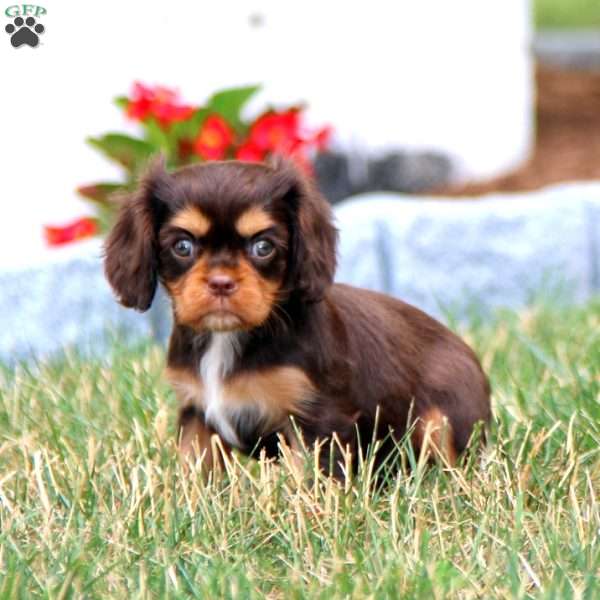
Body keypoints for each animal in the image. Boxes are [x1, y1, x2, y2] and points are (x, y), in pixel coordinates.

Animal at [105, 157, 490, 476]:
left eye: (263, 246)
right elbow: (194, 468)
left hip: (440, 420)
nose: (221, 283)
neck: (228, 338)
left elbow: (309, 479)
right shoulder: (196, 413)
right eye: (182, 246)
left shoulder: (317, 419)